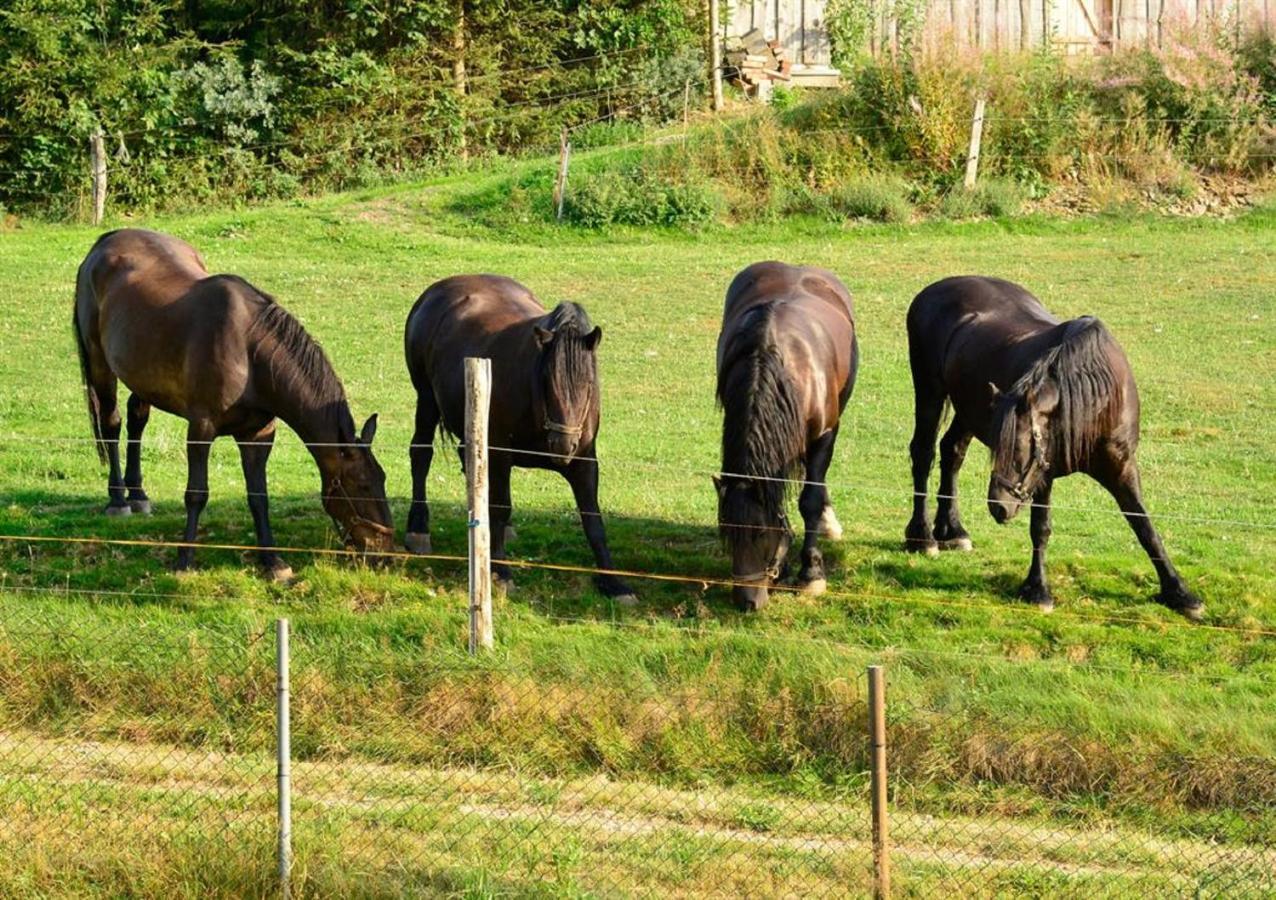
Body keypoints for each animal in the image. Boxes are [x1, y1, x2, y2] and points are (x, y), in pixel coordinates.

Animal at [73, 225, 393, 577]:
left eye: (382, 479)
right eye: (361, 486)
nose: (386, 552)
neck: (250, 354)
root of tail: (107, 240)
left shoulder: (258, 434)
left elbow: (259, 496)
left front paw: (273, 562)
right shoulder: (201, 428)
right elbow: (196, 494)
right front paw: (184, 560)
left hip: (141, 374)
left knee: (137, 419)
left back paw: (138, 493)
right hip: (100, 364)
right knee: (111, 422)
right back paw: (118, 500)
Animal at [400, 270, 635, 600]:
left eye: (589, 383)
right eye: (547, 381)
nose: (563, 444)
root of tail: (438, 290)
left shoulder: (585, 460)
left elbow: (593, 520)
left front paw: (614, 582)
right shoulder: (499, 453)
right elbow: (500, 508)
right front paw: (501, 572)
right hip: (426, 398)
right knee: (421, 455)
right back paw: (419, 528)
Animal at [714, 260, 862, 610]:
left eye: (760, 534)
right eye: (727, 534)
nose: (747, 601)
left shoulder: (824, 436)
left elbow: (811, 499)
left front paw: (811, 574)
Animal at [903, 273, 1199, 617]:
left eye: (1021, 452)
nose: (999, 507)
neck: (1094, 404)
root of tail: (935, 288)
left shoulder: (1120, 466)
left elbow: (1144, 525)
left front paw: (1179, 592)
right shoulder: (1043, 476)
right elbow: (1041, 528)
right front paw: (1038, 588)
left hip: (967, 409)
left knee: (952, 453)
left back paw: (952, 529)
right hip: (930, 391)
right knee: (923, 454)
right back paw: (922, 537)